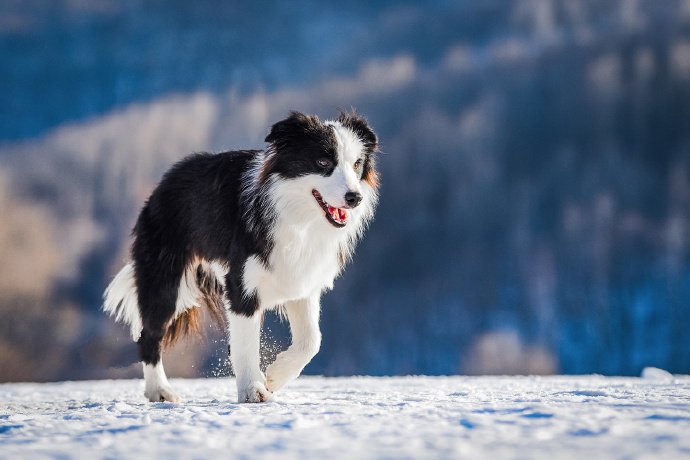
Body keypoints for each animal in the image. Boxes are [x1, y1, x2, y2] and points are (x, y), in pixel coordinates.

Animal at [103, 111, 376, 402]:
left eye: (357, 164)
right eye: (323, 162)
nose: (354, 197)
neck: (294, 216)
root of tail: (162, 185)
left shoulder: (300, 280)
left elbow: (311, 341)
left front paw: (274, 376)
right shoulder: (241, 284)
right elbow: (246, 343)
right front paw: (253, 390)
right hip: (165, 278)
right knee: (149, 334)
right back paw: (160, 391)